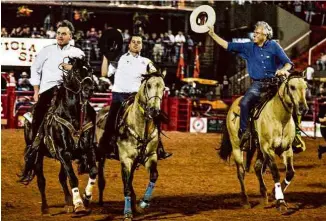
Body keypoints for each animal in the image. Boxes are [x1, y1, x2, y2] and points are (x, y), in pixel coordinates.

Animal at [18, 57, 97, 214]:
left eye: (91, 70)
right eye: (76, 71)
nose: (89, 89)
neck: (73, 115)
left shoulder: (87, 149)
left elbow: (93, 171)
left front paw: (86, 197)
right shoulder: (63, 152)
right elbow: (72, 177)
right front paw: (79, 204)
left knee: (61, 177)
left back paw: (68, 203)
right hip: (38, 155)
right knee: (41, 180)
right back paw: (45, 208)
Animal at [219, 72, 308, 211]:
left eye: (306, 87)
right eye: (292, 87)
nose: (303, 108)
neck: (279, 117)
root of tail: (232, 106)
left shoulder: (286, 149)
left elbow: (290, 173)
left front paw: (273, 194)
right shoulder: (267, 148)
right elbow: (275, 173)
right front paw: (280, 201)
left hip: (258, 148)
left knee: (257, 167)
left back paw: (264, 194)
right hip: (237, 147)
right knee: (241, 172)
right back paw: (245, 201)